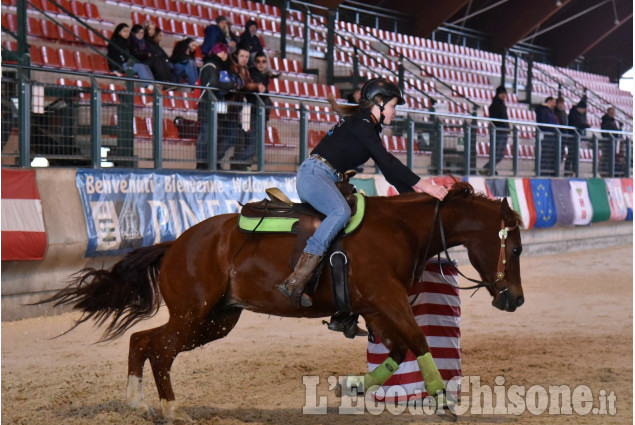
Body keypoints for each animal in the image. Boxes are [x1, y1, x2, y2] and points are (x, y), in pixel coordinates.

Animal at [42, 179, 524, 420]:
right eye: (515, 248)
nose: (515, 300)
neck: (401, 229)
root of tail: (176, 243)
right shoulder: (387, 300)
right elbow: (420, 343)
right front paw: (443, 403)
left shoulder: (376, 308)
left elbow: (399, 350)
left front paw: (350, 385)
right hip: (192, 315)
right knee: (158, 350)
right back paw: (171, 409)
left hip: (214, 321)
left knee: (142, 341)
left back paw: (138, 403)